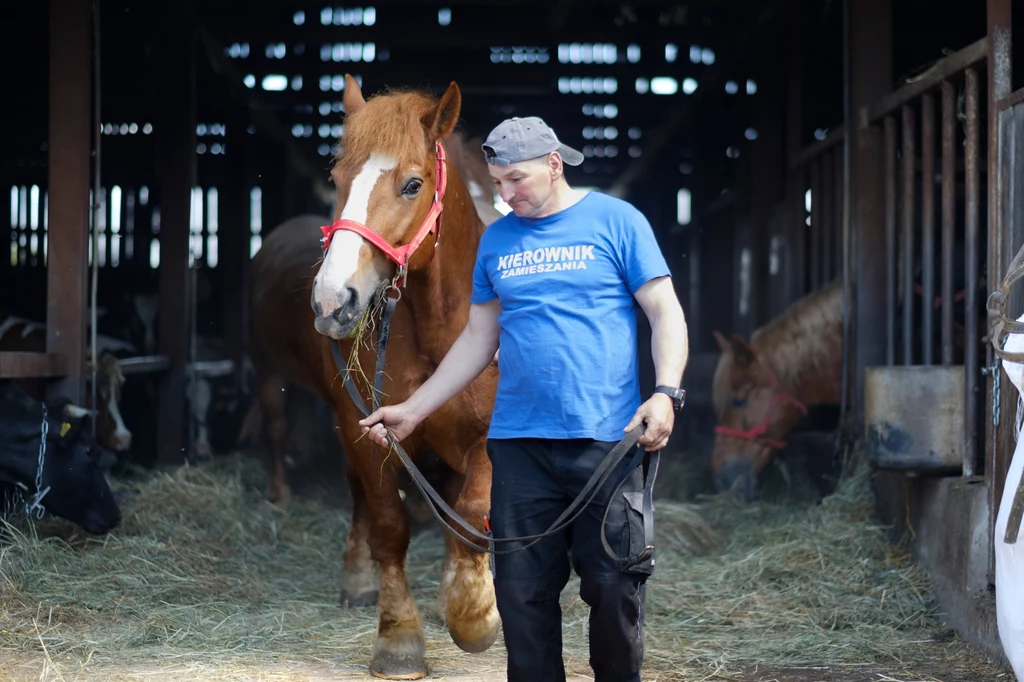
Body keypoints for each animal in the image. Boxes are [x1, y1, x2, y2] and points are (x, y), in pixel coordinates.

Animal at [251, 78, 499, 675]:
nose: (332, 301)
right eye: (338, 181)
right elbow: (390, 527)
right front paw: (399, 638)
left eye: (412, 184)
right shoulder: (368, 432)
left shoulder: (487, 436)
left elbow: (472, 513)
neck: (440, 327)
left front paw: (473, 613)